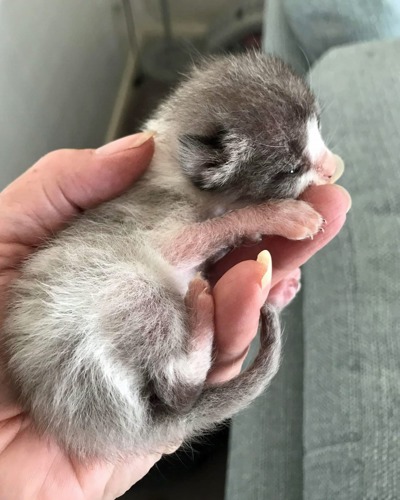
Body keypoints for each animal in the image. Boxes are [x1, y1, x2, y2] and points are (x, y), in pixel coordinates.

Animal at [2, 50, 338, 460]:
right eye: (291, 169)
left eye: (318, 126)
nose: (334, 168)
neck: (170, 168)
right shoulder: (166, 234)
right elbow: (223, 224)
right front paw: (280, 215)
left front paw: (283, 280)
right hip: (131, 291)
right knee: (177, 386)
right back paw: (201, 312)